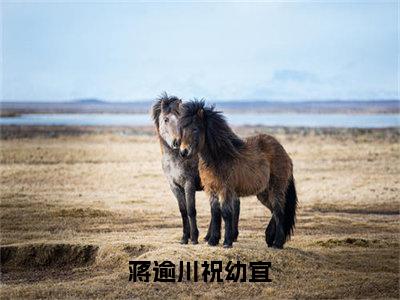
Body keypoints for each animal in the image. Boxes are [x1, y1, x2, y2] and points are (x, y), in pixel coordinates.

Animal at [152, 94, 241, 246]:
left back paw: (231, 236)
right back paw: (209, 236)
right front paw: (184, 238)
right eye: (166, 119)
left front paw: (193, 237)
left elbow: (191, 210)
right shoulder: (174, 186)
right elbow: (183, 210)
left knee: (234, 204)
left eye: (180, 121)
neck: (176, 159)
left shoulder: (189, 184)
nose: (177, 142)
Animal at [177, 101, 296, 248]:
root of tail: (284, 153)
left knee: (279, 212)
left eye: (195, 129)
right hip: (263, 193)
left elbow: (226, 213)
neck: (220, 157)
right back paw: (269, 238)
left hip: (276, 189)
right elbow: (215, 213)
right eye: (182, 129)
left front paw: (227, 242)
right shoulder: (211, 190)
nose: (183, 152)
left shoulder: (226, 189)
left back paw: (277, 243)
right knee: (274, 210)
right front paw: (213, 241)